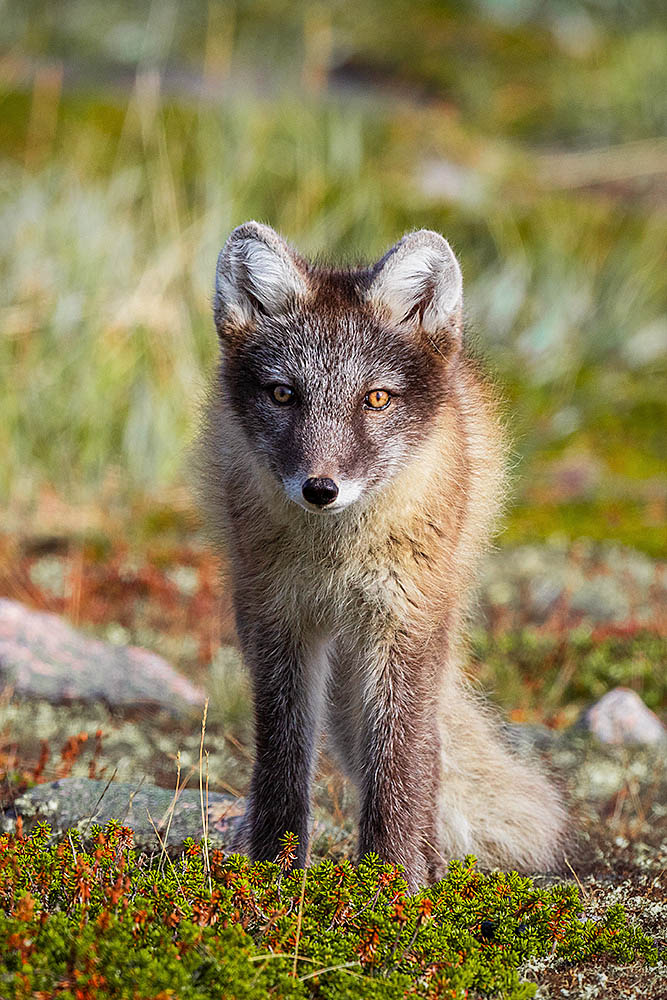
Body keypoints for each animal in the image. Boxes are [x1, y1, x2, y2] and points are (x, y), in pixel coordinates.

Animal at [197, 223, 564, 888]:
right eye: (283, 394)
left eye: (376, 399)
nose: (320, 489)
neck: (338, 557)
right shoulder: (276, 620)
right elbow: (284, 755)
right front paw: (272, 876)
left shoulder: (403, 623)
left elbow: (398, 762)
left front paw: (390, 884)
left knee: (426, 752)